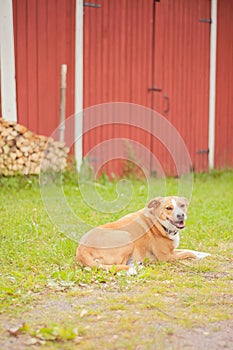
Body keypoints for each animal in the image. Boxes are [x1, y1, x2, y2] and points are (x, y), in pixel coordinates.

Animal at [77, 197, 211, 274]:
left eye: (182, 205)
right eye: (168, 208)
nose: (181, 215)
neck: (159, 223)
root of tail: (82, 249)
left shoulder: (172, 250)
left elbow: (189, 250)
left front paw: (203, 254)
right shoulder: (166, 257)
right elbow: (188, 253)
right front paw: (198, 256)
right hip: (127, 238)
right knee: (117, 265)